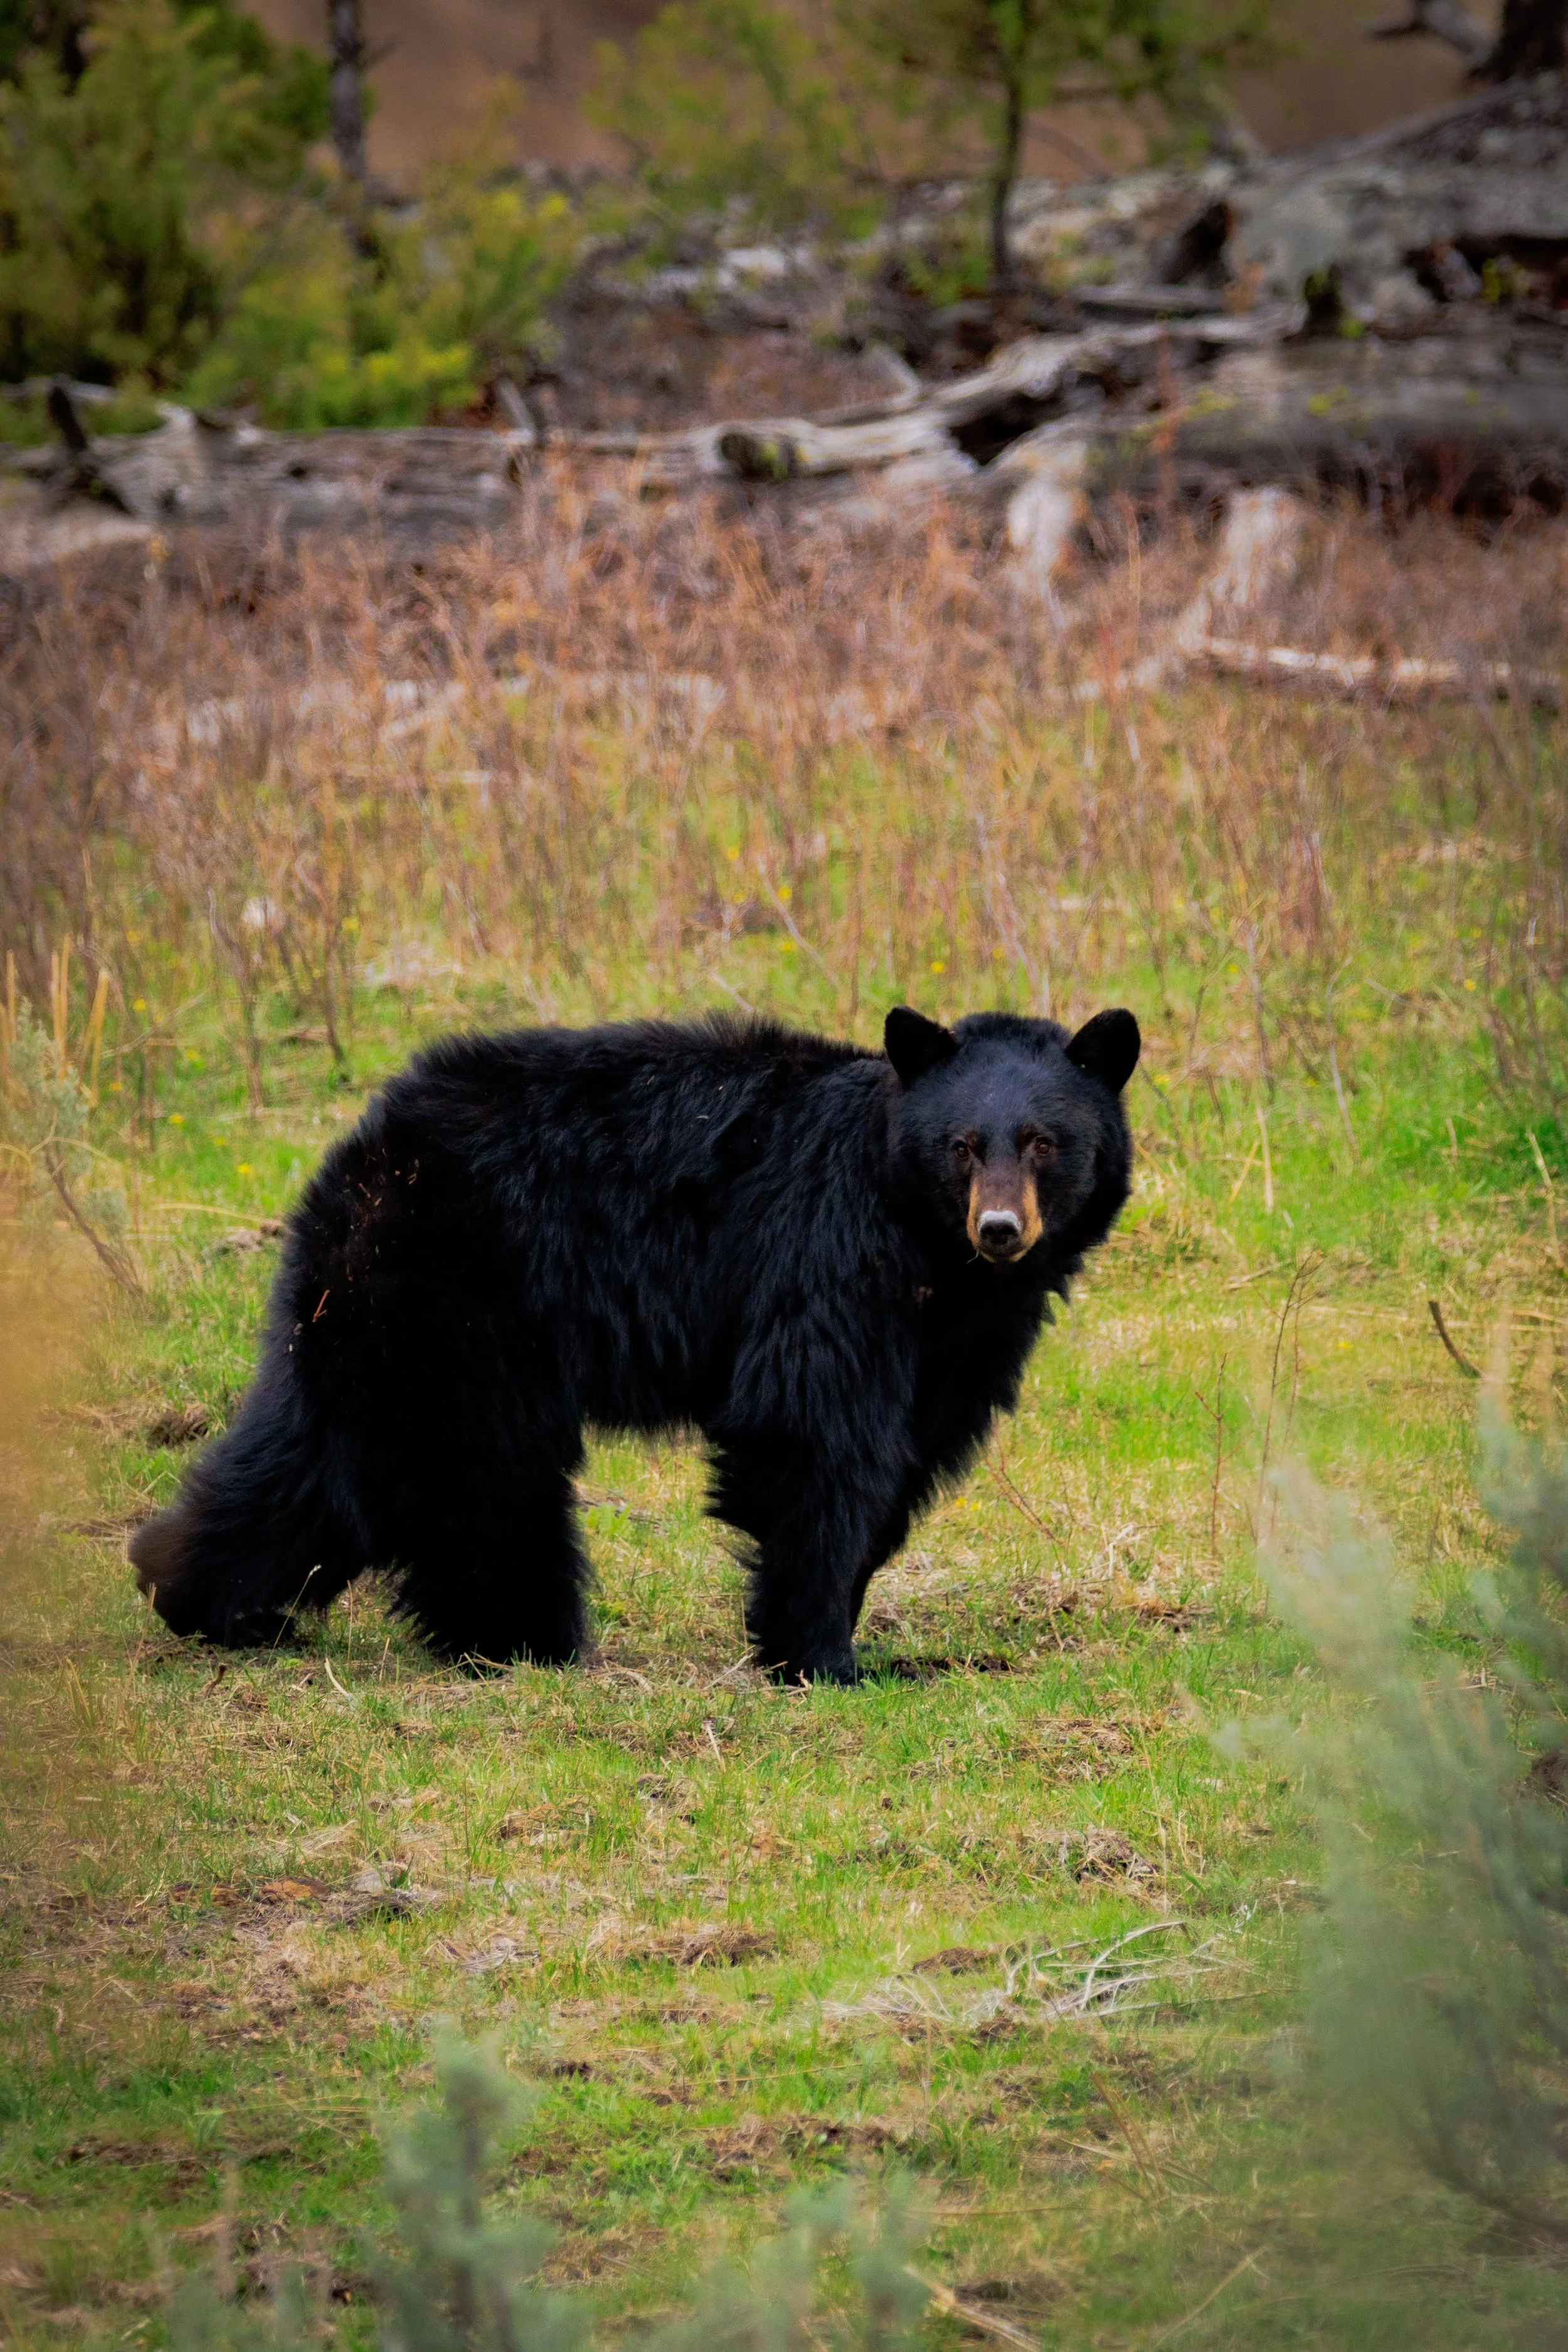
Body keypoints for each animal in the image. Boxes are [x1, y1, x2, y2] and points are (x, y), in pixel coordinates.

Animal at [131, 1002, 1140, 1683]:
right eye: (962, 1145)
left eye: (1045, 1141)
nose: (1002, 1229)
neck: (936, 1256)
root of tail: (371, 1143)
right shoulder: (824, 1253)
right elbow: (808, 1430)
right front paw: (819, 1654)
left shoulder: (961, 1336)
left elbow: (907, 1454)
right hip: (472, 1293)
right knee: (476, 1473)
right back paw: (521, 1637)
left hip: (375, 1302)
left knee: (313, 1454)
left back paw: (193, 1591)